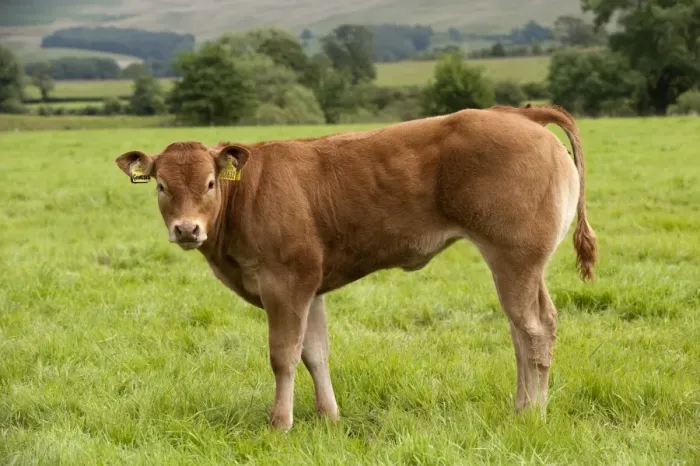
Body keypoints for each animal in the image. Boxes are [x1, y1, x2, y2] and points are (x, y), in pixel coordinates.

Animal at [114, 104, 597, 431]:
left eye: (211, 183)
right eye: (161, 185)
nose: (186, 229)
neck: (246, 196)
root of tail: (519, 114)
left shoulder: (285, 282)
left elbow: (283, 355)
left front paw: (280, 423)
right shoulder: (310, 285)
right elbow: (315, 352)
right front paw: (329, 417)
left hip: (515, 257)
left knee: (533, 329)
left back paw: (532, 414)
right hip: (522, 264)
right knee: (525, 330)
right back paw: (521, 407)